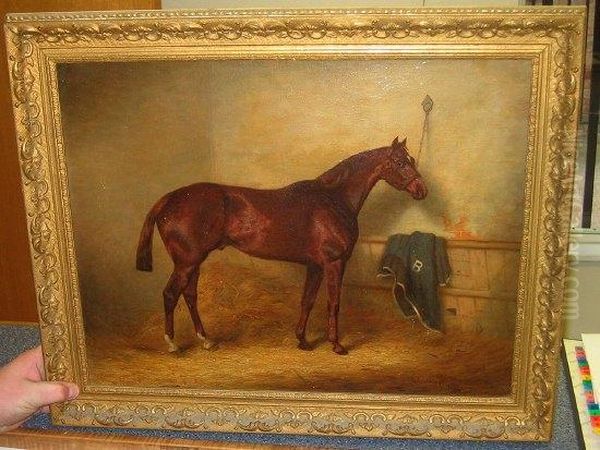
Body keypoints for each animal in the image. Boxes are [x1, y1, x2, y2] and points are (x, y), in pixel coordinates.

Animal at [136, 137, 426, 356]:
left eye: (411, 160)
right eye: (401, 162)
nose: (421, 189)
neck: (333, 199)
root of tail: (170, 198)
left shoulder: (315, 266)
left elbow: (307, 301)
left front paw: (303, 341)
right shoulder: (334, 263)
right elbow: (333, 303)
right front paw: (336, 345)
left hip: (193, 262)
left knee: (190, 295)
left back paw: (206, 340)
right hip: (186, 262)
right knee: (170, 295)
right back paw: (173, 344)